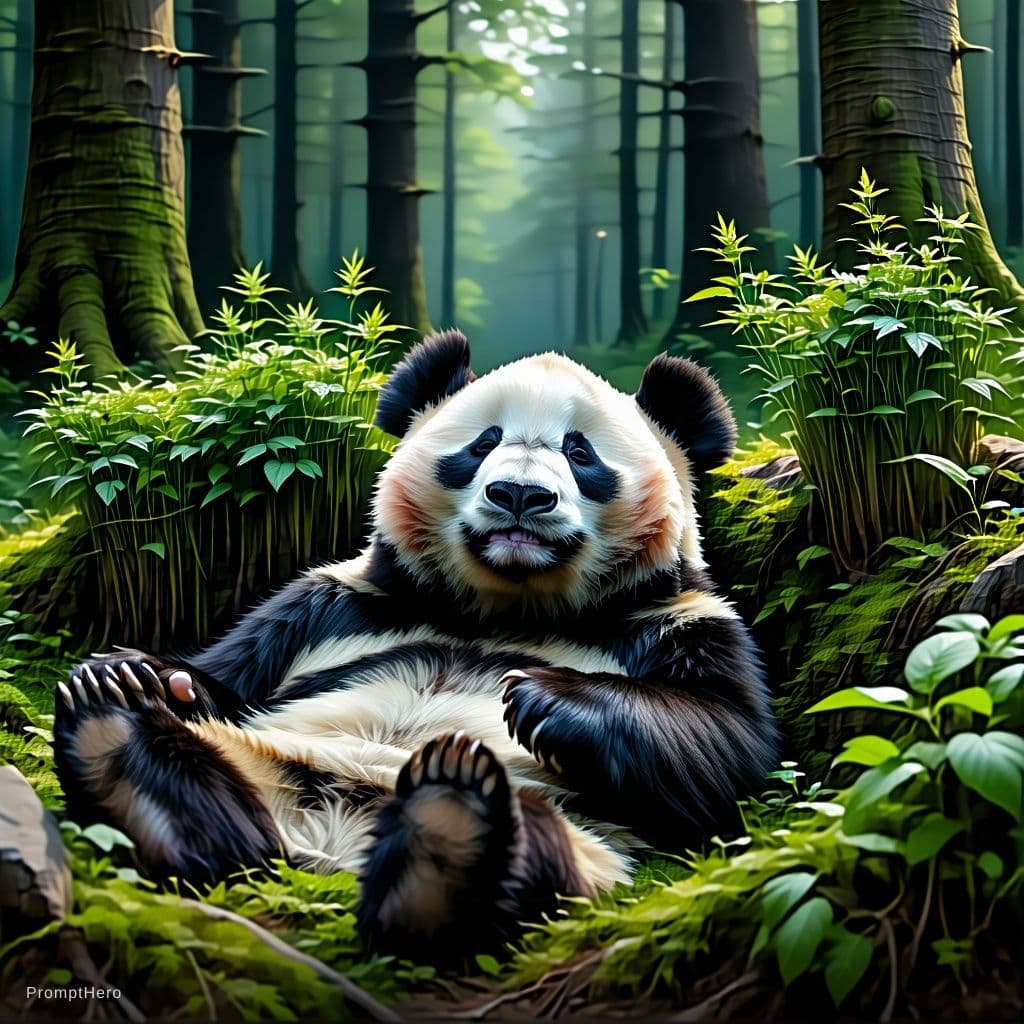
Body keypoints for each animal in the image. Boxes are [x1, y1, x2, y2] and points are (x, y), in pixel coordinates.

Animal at [52, 331, 779, 962]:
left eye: (581, 454)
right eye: (484, 443)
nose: (519, 494)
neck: (503, 605)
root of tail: (331, 850)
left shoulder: (687, 620)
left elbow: (726, 746)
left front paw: (547, 699)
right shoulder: (328, 602)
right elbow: (231, 676)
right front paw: (138, 671)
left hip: (586, 846)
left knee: (533, 850)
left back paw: (447, 831)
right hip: (270, 765)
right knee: (222, 814)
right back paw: (115, 729)